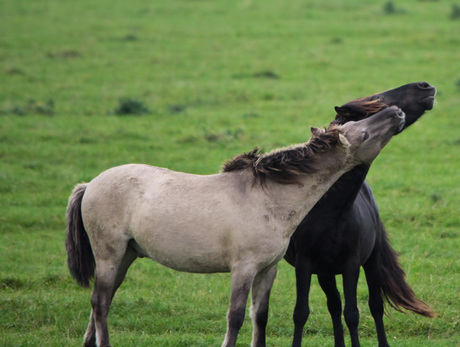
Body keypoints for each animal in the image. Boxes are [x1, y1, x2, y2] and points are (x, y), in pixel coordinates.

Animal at [66, 106, 404, 347]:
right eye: (363, 133)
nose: (397, 112)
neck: (268, 198)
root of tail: (89, 185)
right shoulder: (244, 268)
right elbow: (236, 317)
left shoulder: (268, 270)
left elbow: (260, 317)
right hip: (109, 255)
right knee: (100, 301)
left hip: (126, 256)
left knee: (102, 301)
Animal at [284, 82, 438, 347]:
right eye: (378, 100)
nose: (425, 86)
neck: (329, 210)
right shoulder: (305, 264)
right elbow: (301, 313)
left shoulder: (352, 264)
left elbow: (353, 314)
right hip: (325, 272)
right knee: (334, 305)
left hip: (372, 262)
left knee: (374, 306)